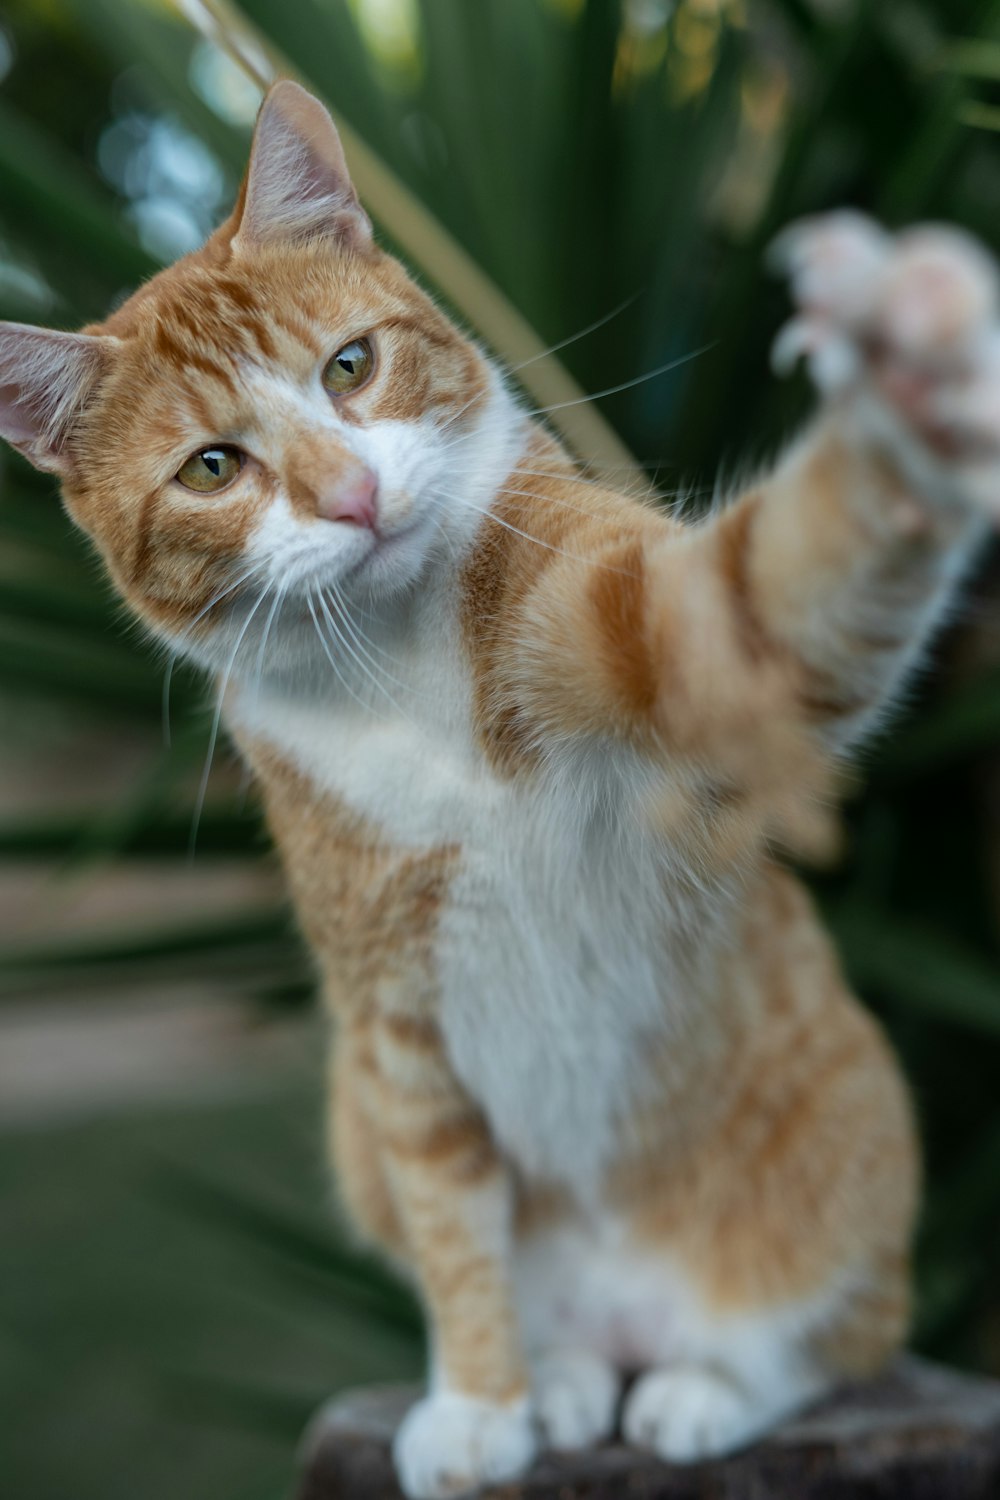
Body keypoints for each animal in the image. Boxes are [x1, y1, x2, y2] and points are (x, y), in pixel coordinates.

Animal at [1, 82, 1000, 1500]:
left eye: (349, 366)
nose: (354, 498)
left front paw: (910, 367)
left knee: (829, 1333)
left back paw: (701, 1386)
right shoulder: (393, 1037)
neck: (397, 666)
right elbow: (452, 1225)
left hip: (857, 1141)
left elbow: (778, 579)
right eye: (211, 468)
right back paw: (568, 1376)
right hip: (354, 1128)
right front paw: (483, 1400)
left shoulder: (669, 644)